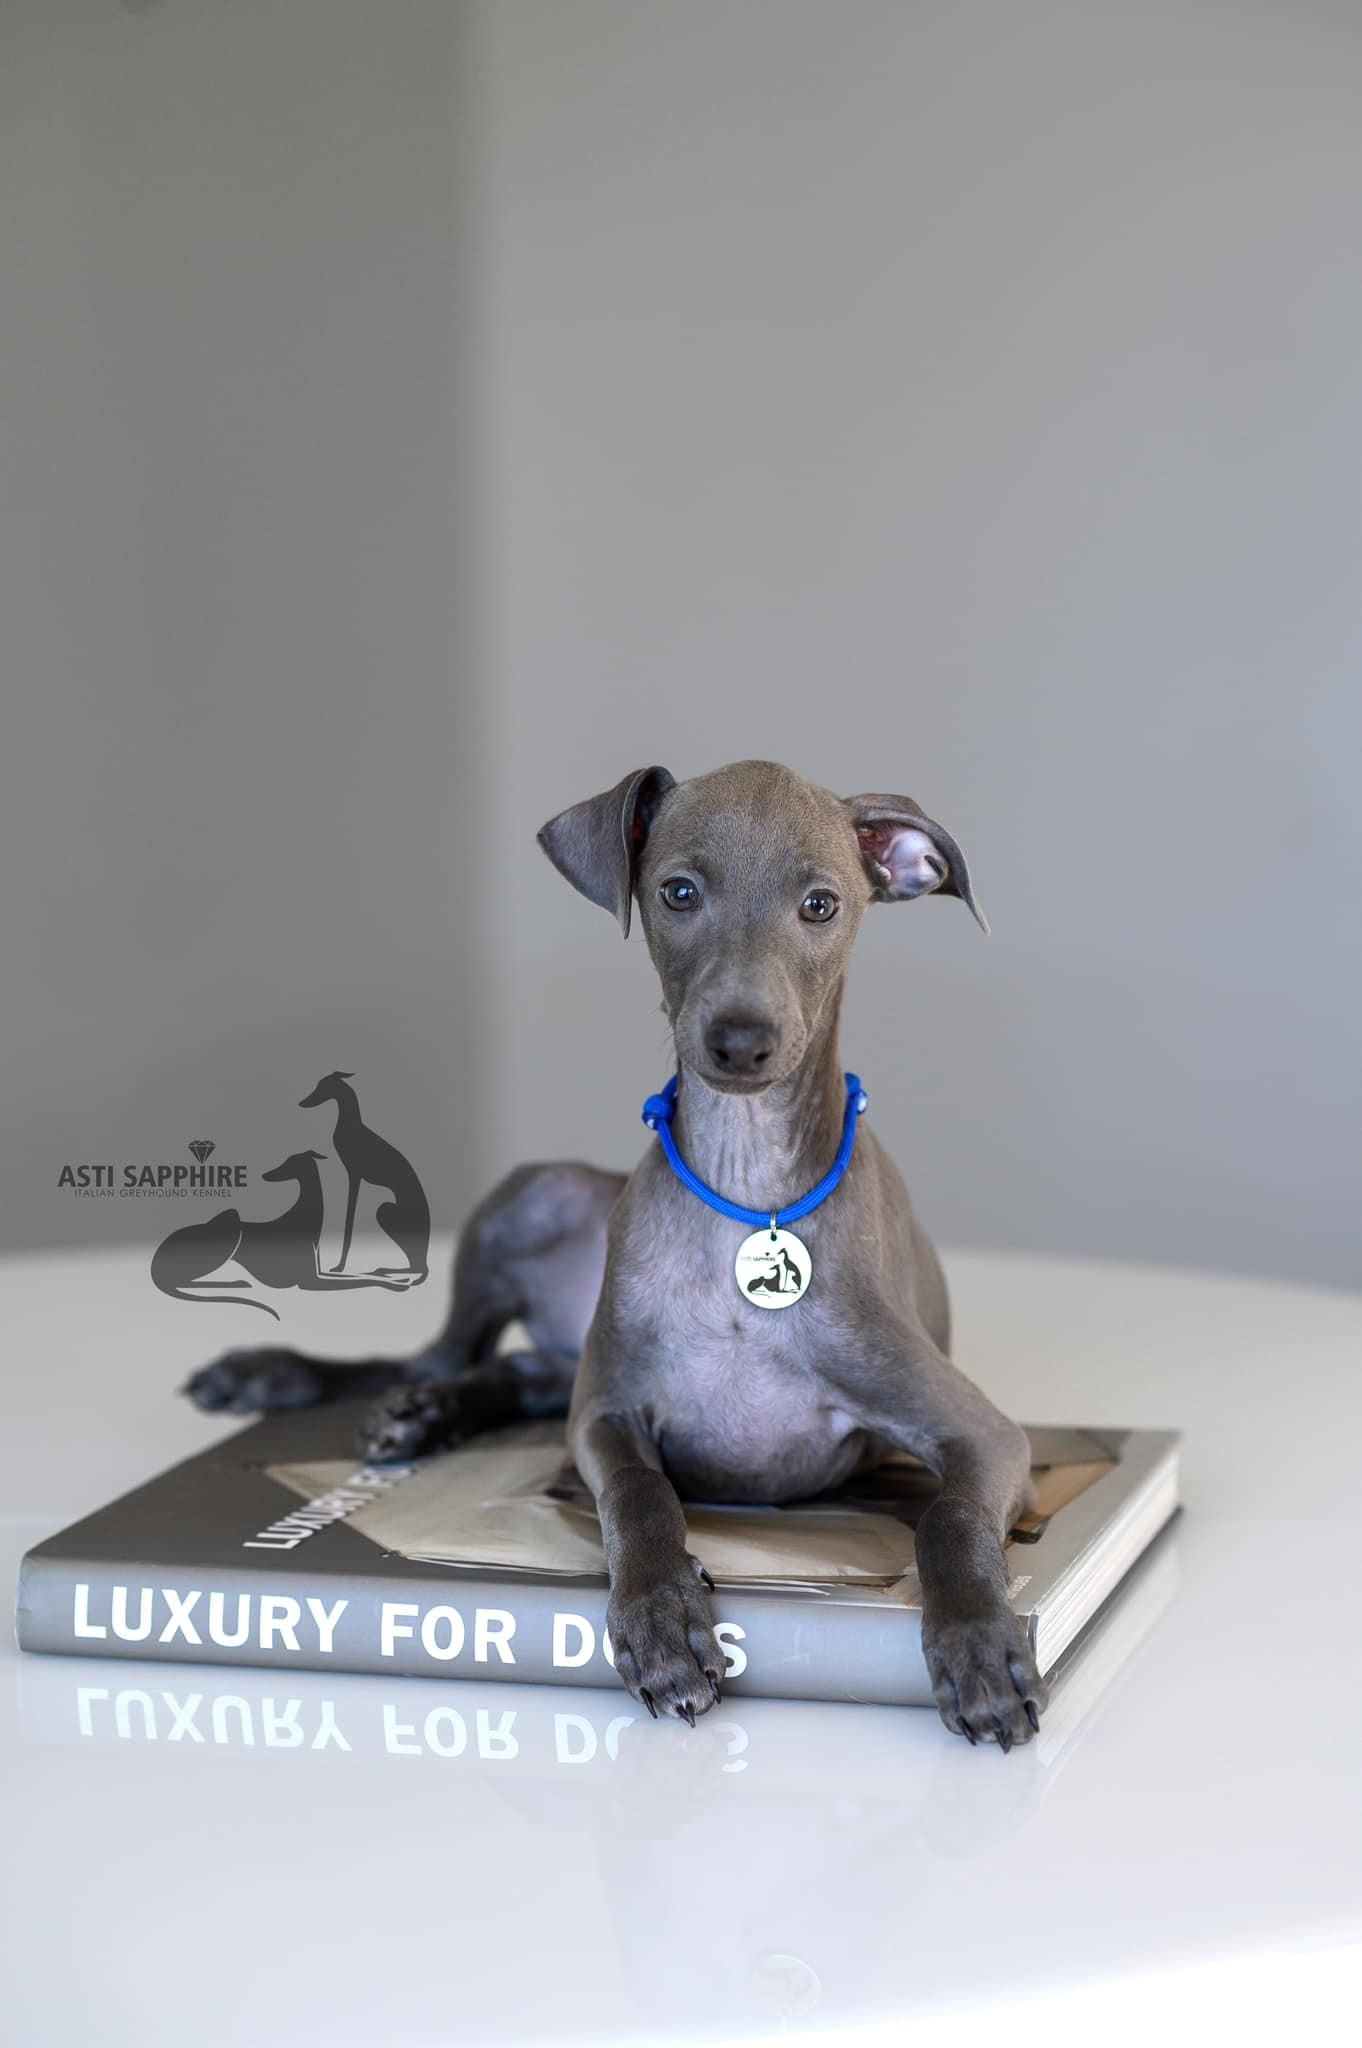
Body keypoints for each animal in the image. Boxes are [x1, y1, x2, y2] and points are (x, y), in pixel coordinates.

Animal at [186, 760, 1048, 1748]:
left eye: (821, 905)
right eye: (678, 892)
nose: (740, 1041)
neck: (748, 1192)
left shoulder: (984, 1435)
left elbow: (948, 1516)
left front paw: (979, 1644)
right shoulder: (605, 1415)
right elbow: (639, 1494)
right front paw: (664, 1619)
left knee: (520, 1373)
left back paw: (423, 1412)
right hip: (540, 1196)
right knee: (444, 1359)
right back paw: (326, 1388)